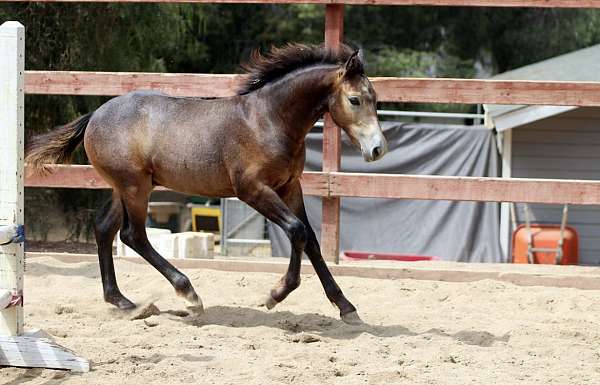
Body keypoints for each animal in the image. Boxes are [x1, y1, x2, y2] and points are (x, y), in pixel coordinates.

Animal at [24, 42, 390, 324]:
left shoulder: (290, 187)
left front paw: (346, 307)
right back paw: (187, 294)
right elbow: (296, 231)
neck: (268, 120)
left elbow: (311, 239)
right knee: (132, 235)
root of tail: (95, 116)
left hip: (125, 188)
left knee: (104, 229)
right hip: (135, 187)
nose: (377, 149)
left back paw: (125, 303)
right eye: (355, 100)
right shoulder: (252, 190)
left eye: (375, 98)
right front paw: (274, 294)